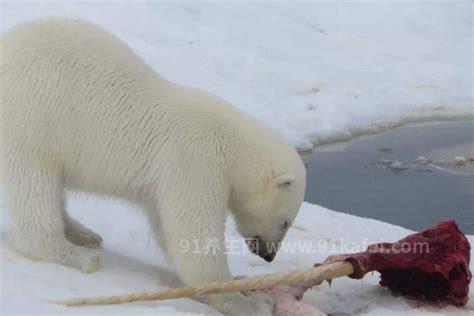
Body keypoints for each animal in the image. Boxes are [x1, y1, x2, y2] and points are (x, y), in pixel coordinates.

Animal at [0, 18, 306, 314]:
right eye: (285, 221)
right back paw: (77, 254)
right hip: (32, 120)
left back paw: (83, 233)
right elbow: (194, 237)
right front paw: (251, 301)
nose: (269, 255)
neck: (233, 145)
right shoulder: (194, 160)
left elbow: (167, 230)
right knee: (34, 185)